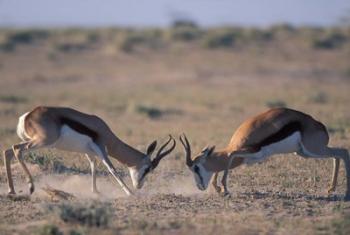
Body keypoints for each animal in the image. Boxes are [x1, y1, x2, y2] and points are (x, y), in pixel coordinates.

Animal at [3, 106, 175, 196]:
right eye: (147, 169)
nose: (138, 186)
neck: (104, 131)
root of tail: (27, 116)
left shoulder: (90, 153)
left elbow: (93, 168)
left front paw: (95, 191)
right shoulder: (101, 149)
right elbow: (111, 169)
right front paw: (129, 193)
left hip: (34, 141)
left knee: (8, 151)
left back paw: (12, 190)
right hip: (41, 142)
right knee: (17, 149)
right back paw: (30, 187)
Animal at [180, 108, 350, 200]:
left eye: (196, 167)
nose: (199, 186)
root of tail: (320, 126)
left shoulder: (250, 151)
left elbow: (231, 155)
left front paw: (224, 190)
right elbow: (226, 161)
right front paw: (219, 189)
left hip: (312, 149)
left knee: (343, 152)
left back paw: (346, 194)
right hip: (304, 153)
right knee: (337, 155)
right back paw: (331, 189)